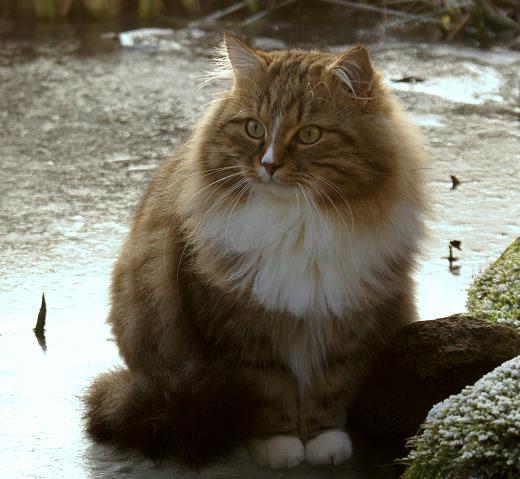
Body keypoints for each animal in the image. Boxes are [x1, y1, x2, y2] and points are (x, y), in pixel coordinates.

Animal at [84, 35, 426, 470]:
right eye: (254, 128)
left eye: (309, 134)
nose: (269, 165)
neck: (296, 223)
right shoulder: (241, 329)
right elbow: (271, 392)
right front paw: (280, 446)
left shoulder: (348, 320)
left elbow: (330, 387)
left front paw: (324, 443)